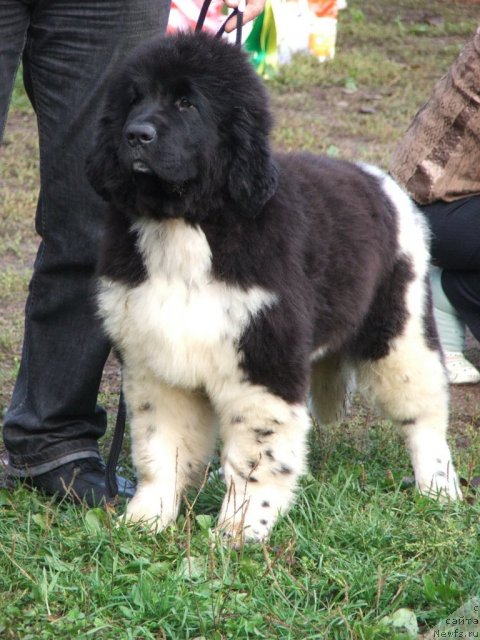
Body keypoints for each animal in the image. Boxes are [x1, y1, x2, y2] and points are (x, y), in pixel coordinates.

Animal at [86, 30, 462, 540]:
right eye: (134, 99)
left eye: (187, 103)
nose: (136, 135)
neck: (190, 224)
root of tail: (378, 178)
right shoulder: (157, 362)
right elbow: (160, 447)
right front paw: (147, 518)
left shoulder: (263, 360)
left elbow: (256, 457)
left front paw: (241, 530)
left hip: (398, 330)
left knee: (424, 413)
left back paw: (439, 488)